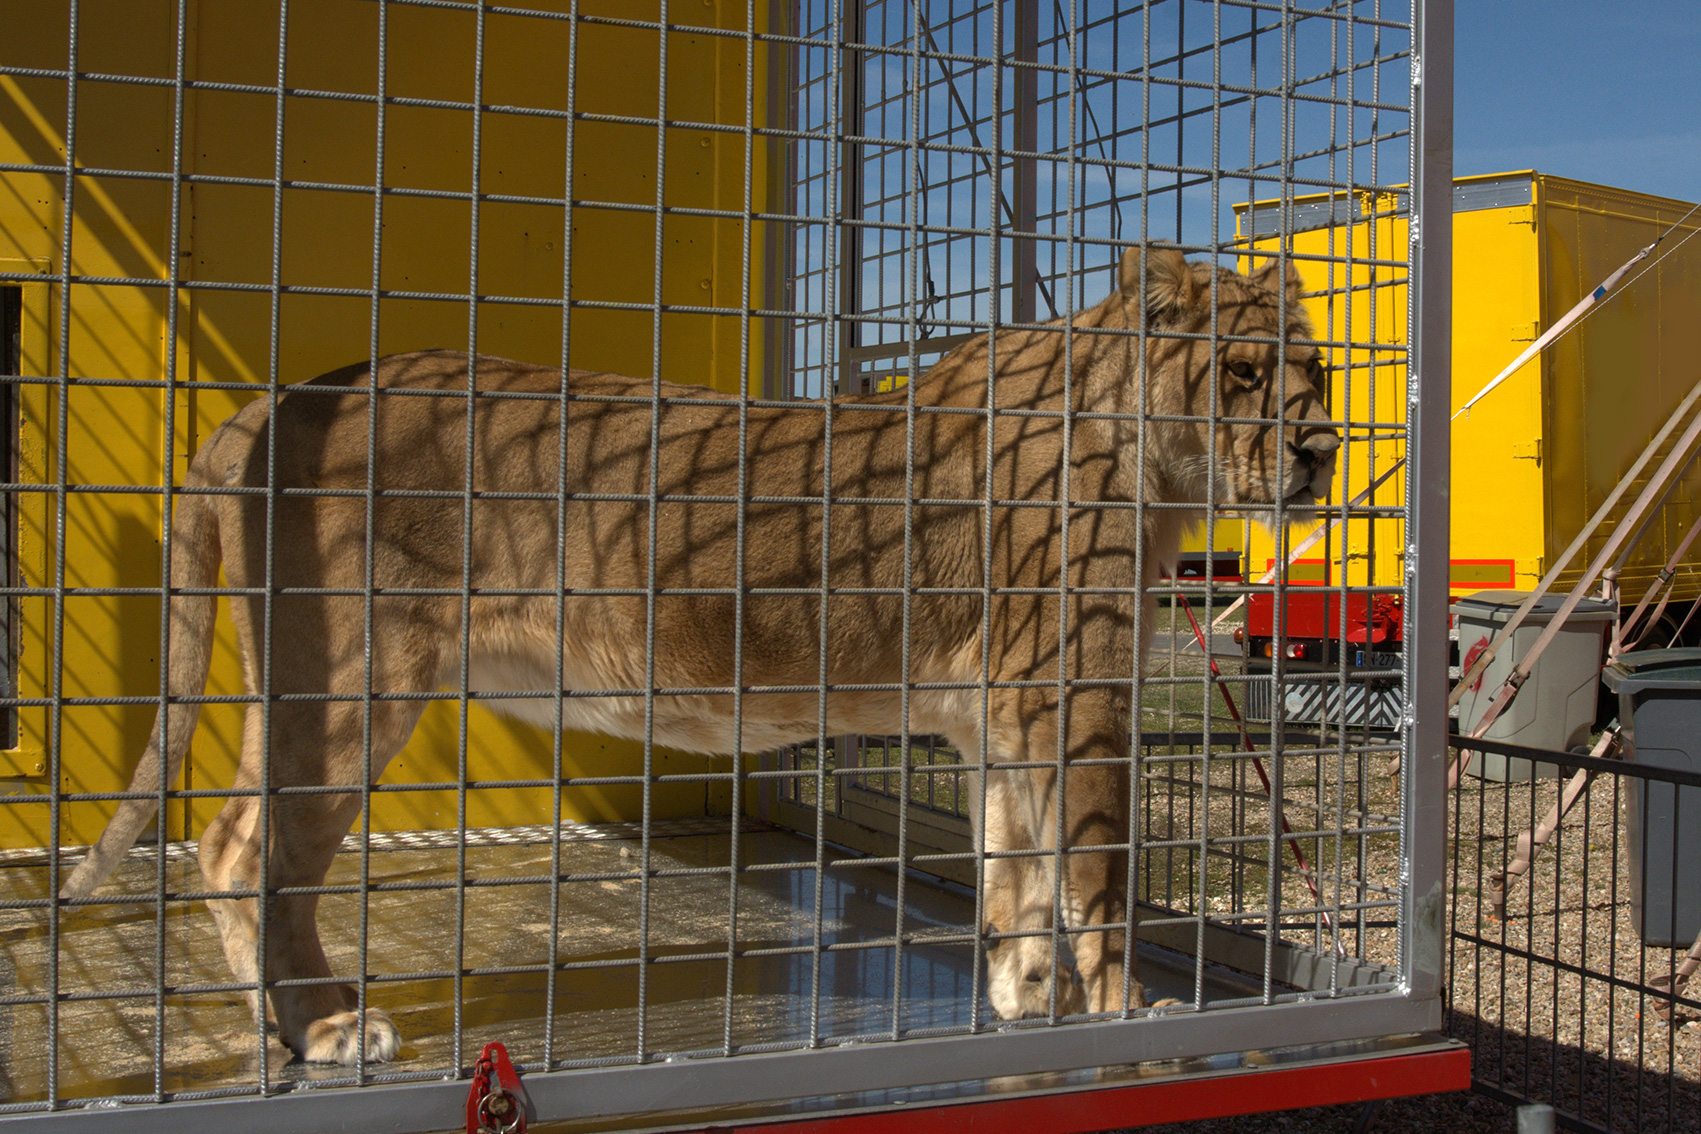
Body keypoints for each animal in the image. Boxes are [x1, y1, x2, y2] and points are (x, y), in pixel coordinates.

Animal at [60, 246, 1337, 1064]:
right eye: (1242, 374)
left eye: (1316, 373)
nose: (1323, 449)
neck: (1153, 461)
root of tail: (277, 397)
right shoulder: (1066, 694)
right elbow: (1097, 876)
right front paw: (1129, 1016)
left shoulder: (1000, 712)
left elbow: (1015, 870)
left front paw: (1027, 1006)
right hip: (349, 683)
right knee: (239, 851)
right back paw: (320, 1030)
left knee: (253, 852)